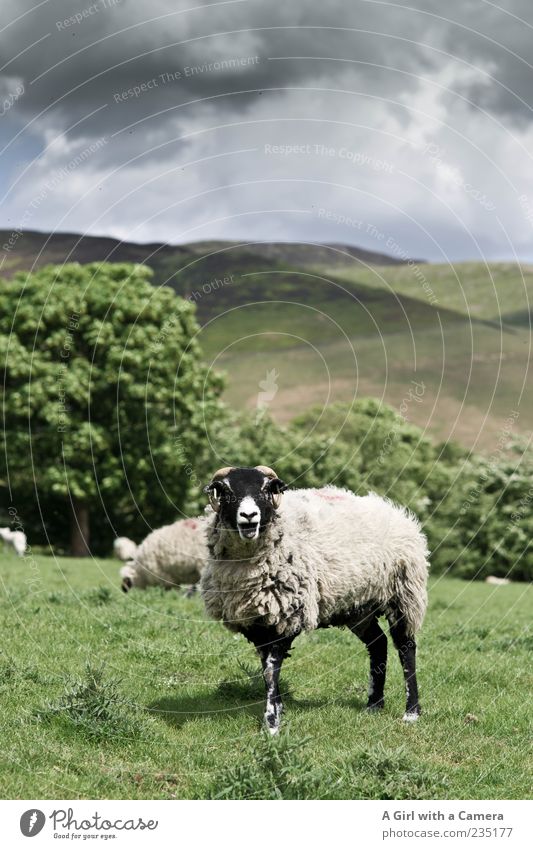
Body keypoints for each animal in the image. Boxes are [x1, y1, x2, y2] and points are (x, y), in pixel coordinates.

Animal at [200, 468, 428, 732]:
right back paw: (374, 704)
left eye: (266, 489)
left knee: (406, 648)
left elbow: (271, 669)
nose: (249, 516)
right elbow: (266, 668)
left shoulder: (287, 616)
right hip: (358, 606)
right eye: (226, 490)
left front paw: (271, 723)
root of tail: (395, 510)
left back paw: (411, 711)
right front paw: (278, 709)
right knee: (378, 644)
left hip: (402, 595)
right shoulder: (257, 622)